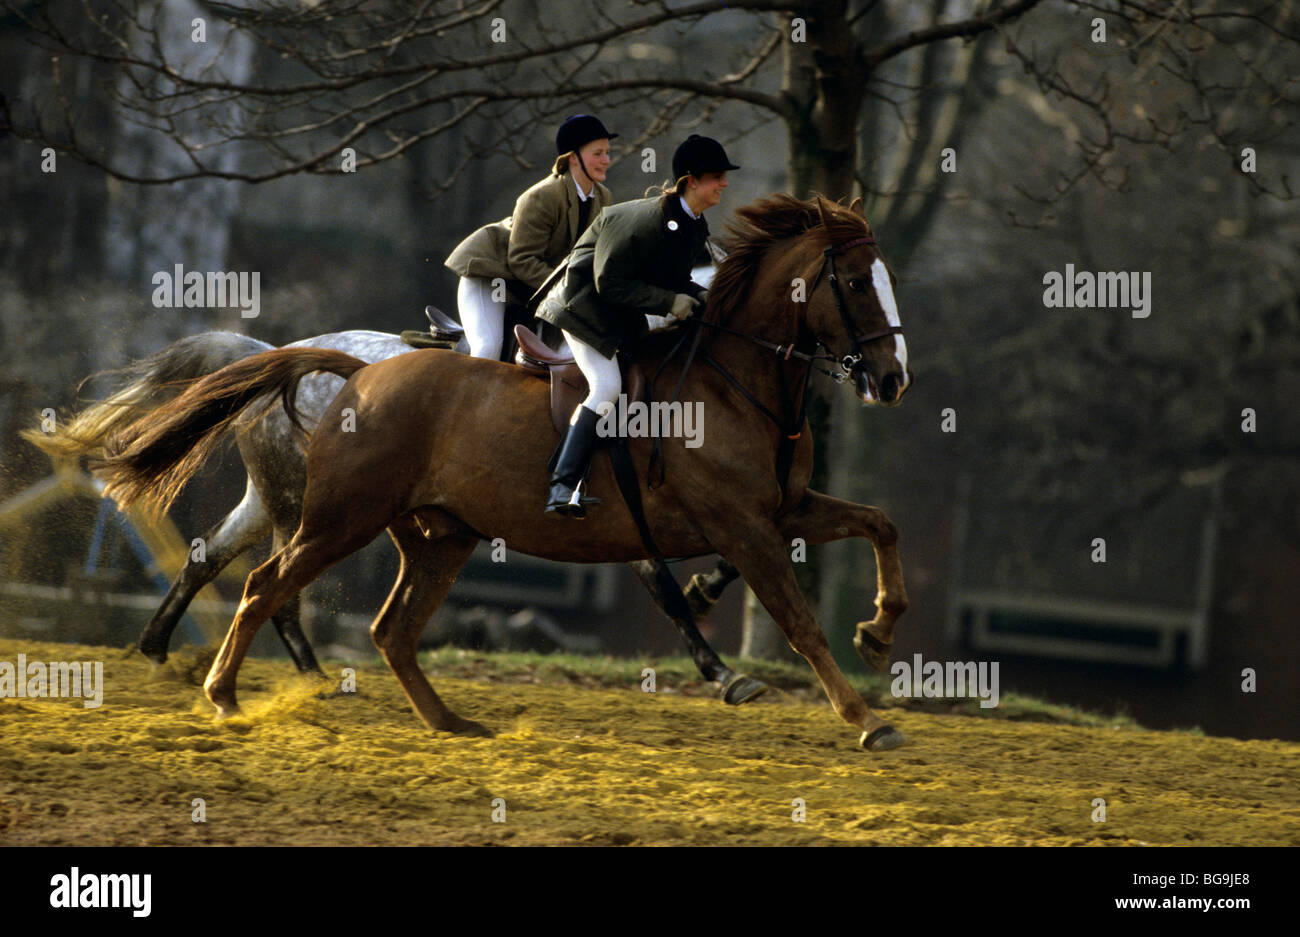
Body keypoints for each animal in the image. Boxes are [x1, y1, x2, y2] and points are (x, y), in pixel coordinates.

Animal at [96, 193, 915, 748]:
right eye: (857, 284)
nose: (892, 380)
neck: (731, 377)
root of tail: (348, 368)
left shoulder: (782, 508)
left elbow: (880, 524)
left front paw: (877, 632)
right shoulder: (740, 524)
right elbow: (794, 620)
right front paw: (862, 716)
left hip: (420, 530)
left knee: (347, 609)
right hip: (333, 515)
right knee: (269, 584)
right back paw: (227, 693)